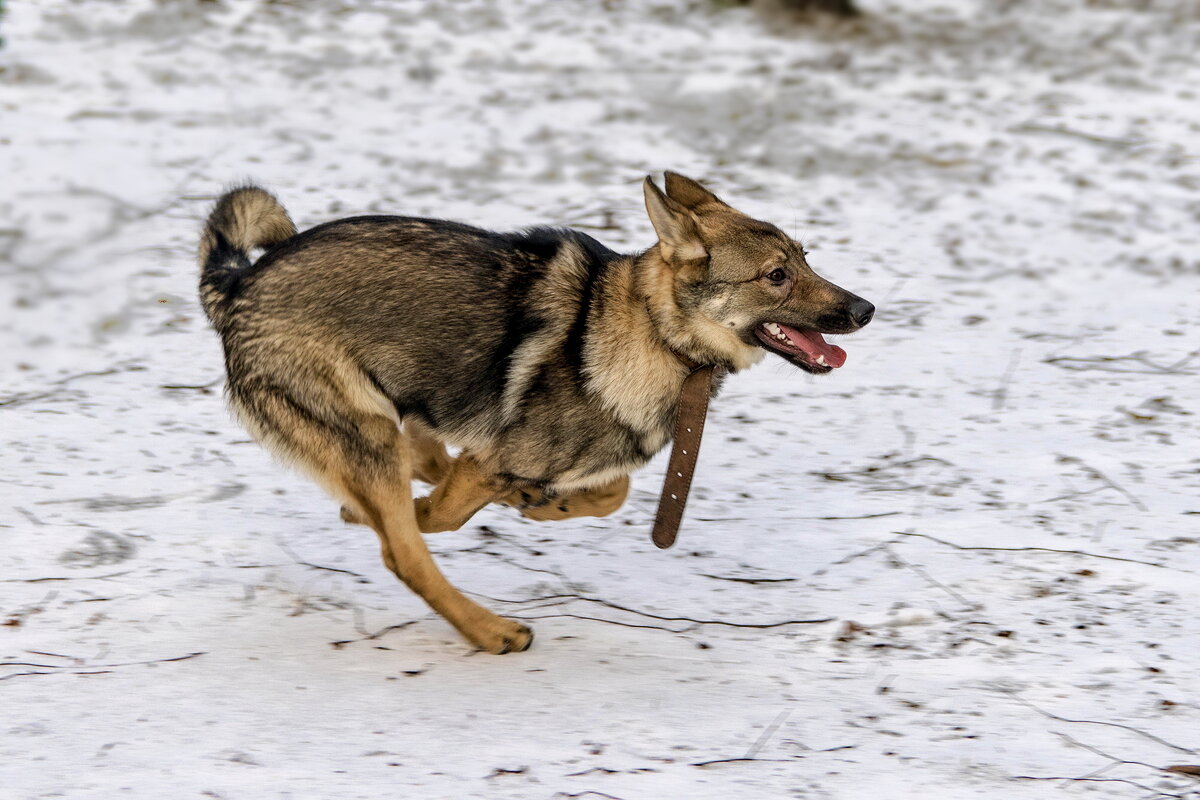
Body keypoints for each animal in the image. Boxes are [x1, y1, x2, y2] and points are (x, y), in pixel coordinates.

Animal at [199, 172, 873, 652]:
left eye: (806, 257)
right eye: (777, 276)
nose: (865, 310)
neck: (654, 332)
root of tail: (238, 286)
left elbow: (612, 491)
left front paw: (542, 503)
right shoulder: (487, 460)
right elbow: (439, 517)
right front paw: (441, 508)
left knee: (418, 465)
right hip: (365, 434)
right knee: (406, 554)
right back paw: (489, 628)